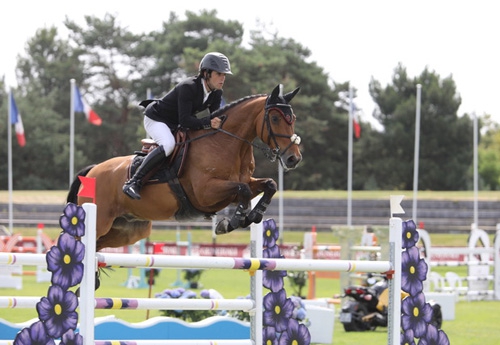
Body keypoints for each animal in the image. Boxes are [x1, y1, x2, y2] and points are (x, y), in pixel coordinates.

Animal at [66, 82, 300, 250]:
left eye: (293, 118)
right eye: (275, 118)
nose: (293, 159)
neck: (226, 143)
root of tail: (93, 170)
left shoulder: (238, 186)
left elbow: (269, 185)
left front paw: (253, 215)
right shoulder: (206, 193)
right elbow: (243, 190)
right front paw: (232, 222)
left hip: (127, 229)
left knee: (98, 246)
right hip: (100, 220)